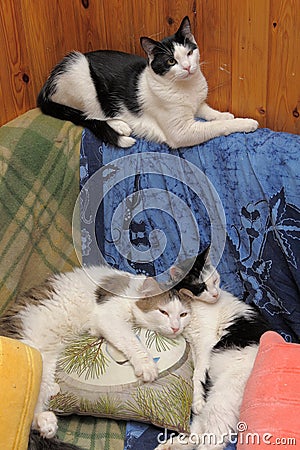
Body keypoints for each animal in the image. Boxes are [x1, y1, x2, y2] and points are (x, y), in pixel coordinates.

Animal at [0, 264, 190, 442]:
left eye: (183, 314)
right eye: (163, 312)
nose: (176, 328)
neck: (133, 290)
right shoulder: (109, 316)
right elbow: (132, 342)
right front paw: (147, 366)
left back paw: (47, 419)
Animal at [37, 16, 258, 149]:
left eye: (189, 53)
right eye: (171, 61)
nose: (187, 67)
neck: (186, 88)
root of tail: (45, 87)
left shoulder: (197, 103)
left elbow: (208, 111)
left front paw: (225, 114)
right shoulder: (182, 132)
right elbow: (216, 127)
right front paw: (245, 122)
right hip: (80, 72)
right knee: (90, 115)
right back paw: (120, 126)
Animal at [156, 250, 270, 450]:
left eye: (215, 280)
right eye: (202, 286)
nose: (216, 294)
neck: (192, 306)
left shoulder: (205, 343)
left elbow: (198, 374)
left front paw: (197, 399)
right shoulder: (194, 345)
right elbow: (197, 372)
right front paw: (197, 398)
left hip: (222, 399)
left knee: (212, 438)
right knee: (197, 432)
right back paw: (168, 445)